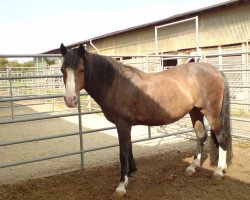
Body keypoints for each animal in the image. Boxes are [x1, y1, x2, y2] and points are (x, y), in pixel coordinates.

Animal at [59, 43, 232, 195]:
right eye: (62, 70)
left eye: (81, 70)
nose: (70, 99)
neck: (116, 83)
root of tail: (217, 71)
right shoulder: (126, 125)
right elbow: (129, 149)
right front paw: (131, 174)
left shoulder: (122, 124)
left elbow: (123, 153)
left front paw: (121, 186)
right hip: (195, 112)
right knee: (201, 136)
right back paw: (193, 167)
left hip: (211, 113)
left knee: (221, 137)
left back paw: (218, 170)